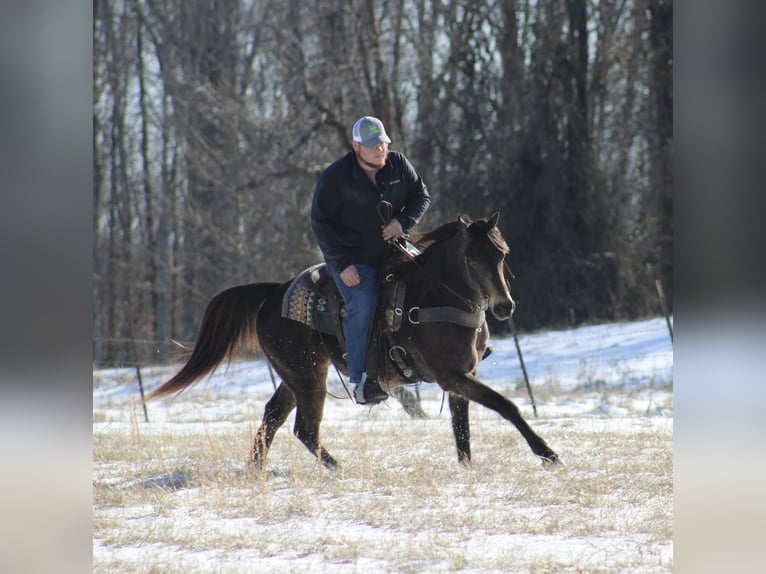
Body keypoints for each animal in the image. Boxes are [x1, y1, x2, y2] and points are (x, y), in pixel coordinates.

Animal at [148, 214, 560, 470]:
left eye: (502, 254)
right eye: (473, 261)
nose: (505, 307)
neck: (437, 299)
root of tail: (272, 294)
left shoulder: (460, 379)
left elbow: (462, 430)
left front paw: (467, 467)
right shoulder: (453, 376)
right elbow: (507, 406)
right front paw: (547, 453)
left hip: (294, 376)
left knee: (273, 418)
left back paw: (256, 469)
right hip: (308, 377)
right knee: (304, 429)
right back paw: (338, 468)